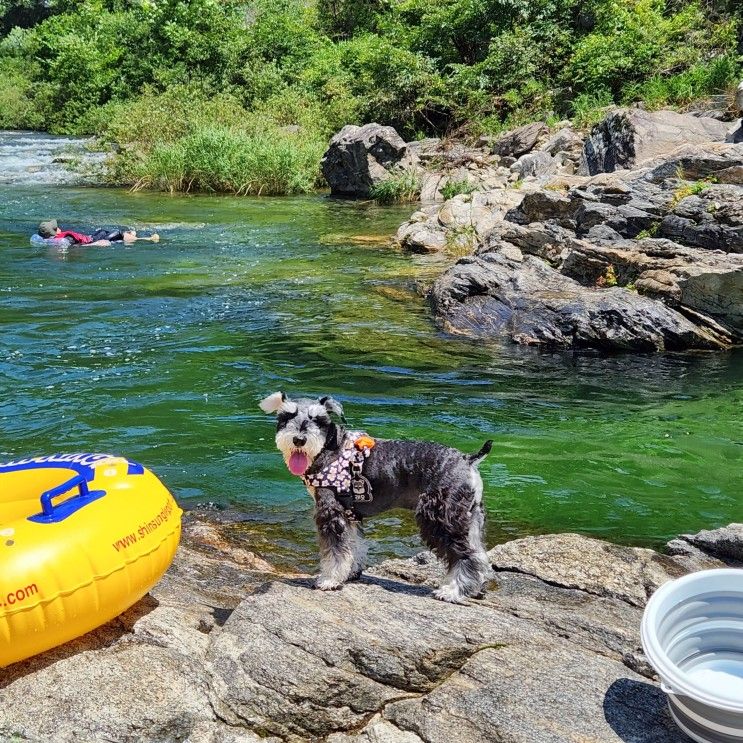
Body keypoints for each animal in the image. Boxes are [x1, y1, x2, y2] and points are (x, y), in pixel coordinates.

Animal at [262, 392, 494, 600]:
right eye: (287, 416)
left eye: (318, 420)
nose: (299, 439)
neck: (329, 447)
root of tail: (468, 459)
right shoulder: (349, 514)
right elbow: (353, 545)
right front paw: (351, 573)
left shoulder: (330, 511)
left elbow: (335, 551)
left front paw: (329, 580)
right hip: (469, 517)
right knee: (479, 554)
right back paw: (475, 588)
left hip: (440, 517)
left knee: (464, 554)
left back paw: (452, 591)